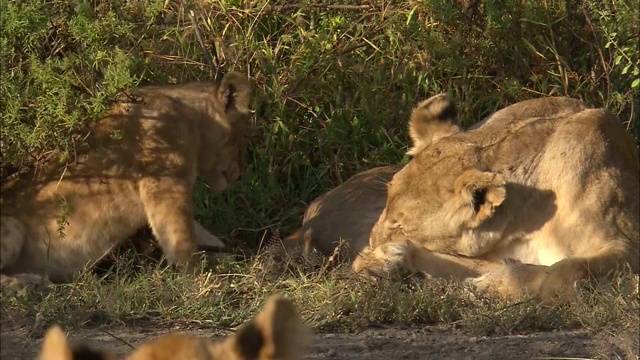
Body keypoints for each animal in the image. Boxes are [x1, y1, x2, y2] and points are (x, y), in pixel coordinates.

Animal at [1, 71, 254, 292]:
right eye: (243, 137)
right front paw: (199, 279)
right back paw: (27, 285)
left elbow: (198, 230)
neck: (192, 118)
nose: (241, 174)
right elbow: (180, 236)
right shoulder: (165, 183)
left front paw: (227, 257)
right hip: (12, 226)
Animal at [352, 93, 636, 300]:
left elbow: (563, 273)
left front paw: (494, 283)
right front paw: (384, 260)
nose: (371, 241)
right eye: (386, 201)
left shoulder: (628, 244)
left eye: (401, 226)